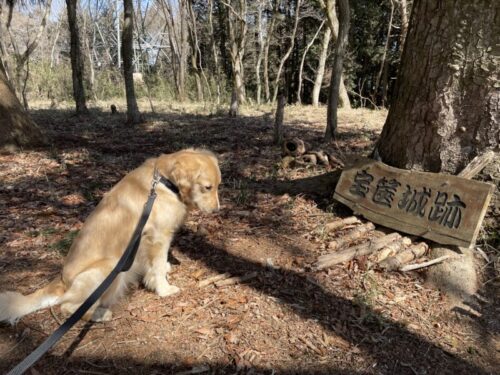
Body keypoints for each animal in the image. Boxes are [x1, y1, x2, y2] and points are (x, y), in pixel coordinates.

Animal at [0, 148, 221, 324]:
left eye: (218, 186)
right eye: (207, 187)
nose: (217, 210)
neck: (164, 182)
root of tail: (61, 281)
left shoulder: (144, 241)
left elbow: (153, 265)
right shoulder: (159, 237)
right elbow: (157, 267)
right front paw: (164, 289)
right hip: (107, 268)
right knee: (69, 308)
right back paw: (100, 314)